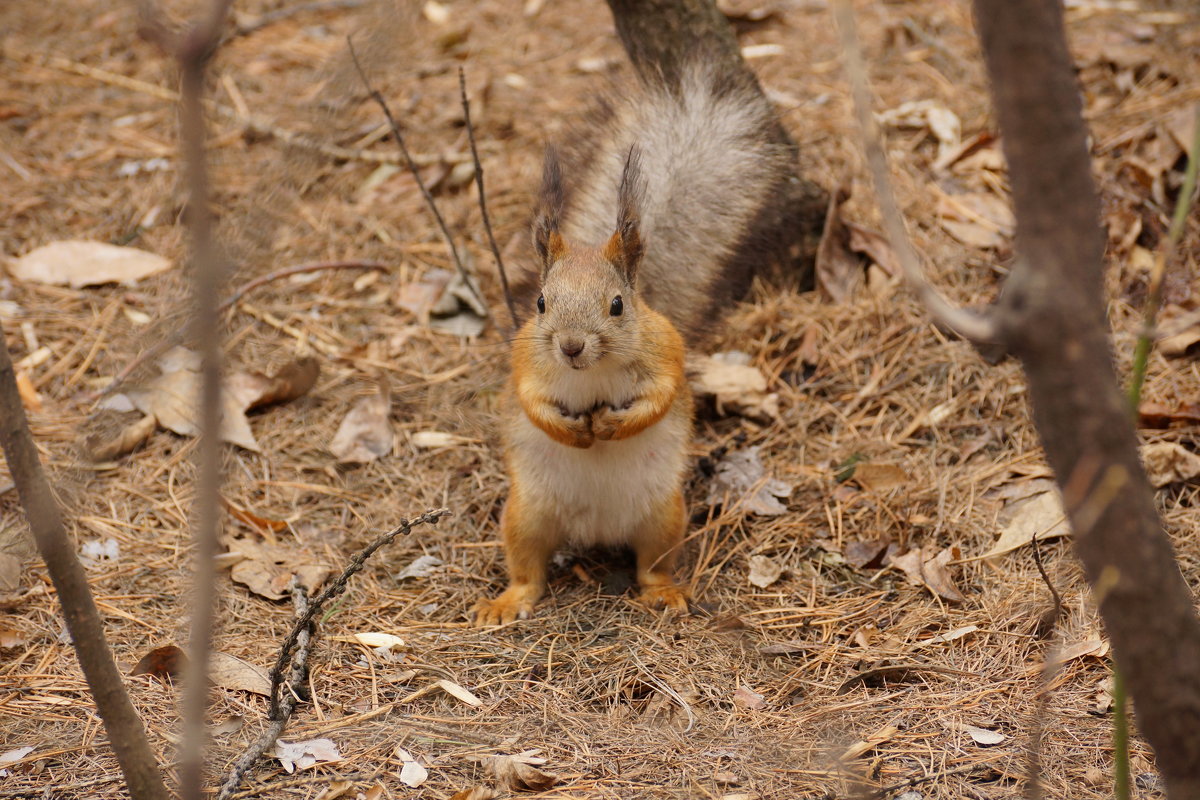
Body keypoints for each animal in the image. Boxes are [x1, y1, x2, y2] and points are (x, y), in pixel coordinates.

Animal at [472, 62, 792, 623]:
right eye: (540, 303)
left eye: (618, 305)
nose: (571, 347)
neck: (592, 374)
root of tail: (596, 531)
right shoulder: (525, 362)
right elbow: (530, 403)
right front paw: (573, 431)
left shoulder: (666, 351)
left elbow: (660, 398)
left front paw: (612, 426)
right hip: (524, 516)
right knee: (528, 570)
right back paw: (508, 602)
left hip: (664, 516)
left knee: (652, 565)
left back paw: (664, 592)